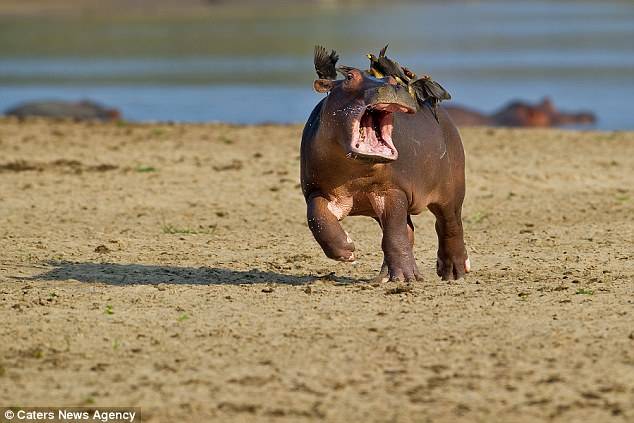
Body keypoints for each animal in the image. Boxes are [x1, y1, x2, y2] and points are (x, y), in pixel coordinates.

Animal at [298, 47, 466, 282]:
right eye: (349, 77)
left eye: (392, 79)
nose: (392, 85)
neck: (356, 172)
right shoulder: (317, 190)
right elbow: (317, 217)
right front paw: (347, 250)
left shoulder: (393, 190)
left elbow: (395, 233)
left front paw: (406, 278)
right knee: (409, 231)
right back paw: (385, 276)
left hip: (452, 190)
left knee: (449, 225)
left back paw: (453, 272)